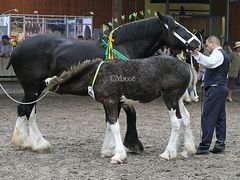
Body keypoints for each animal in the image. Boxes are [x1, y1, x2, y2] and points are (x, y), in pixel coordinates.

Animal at [45, 56, 197, 163]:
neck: (97, 75)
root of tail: (186, 65)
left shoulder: (110, 101)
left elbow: (114, 125)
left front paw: (118, 155)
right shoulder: (114, 103)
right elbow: (109, 124)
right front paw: (107, 151)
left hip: (170, 98)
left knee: (176, 122)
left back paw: (167, 153)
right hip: (178, 99)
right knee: (186, 118)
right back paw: (187, 151)